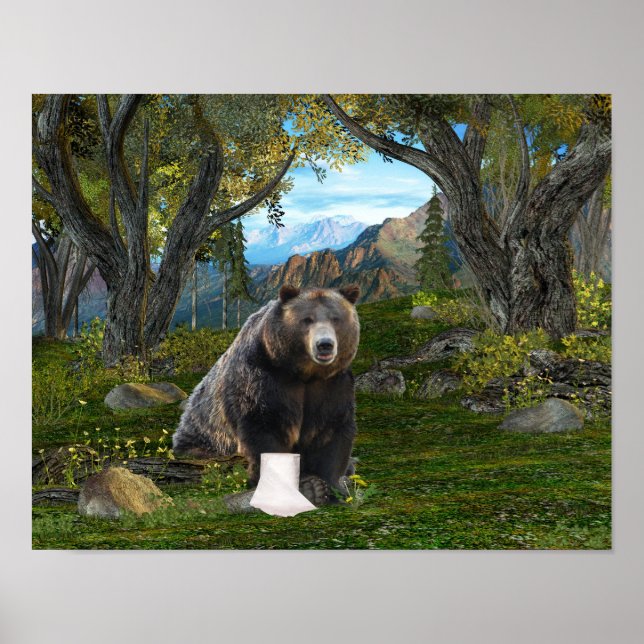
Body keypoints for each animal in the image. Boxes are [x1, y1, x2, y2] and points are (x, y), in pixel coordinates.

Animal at [172, 284, 361, 498]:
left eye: (335, 318)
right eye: (307, 319)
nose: (325, 345)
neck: (304, 374)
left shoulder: (332, 386)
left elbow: (331, 432)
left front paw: (330, 487)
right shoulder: (263, 381)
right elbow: (264, 431)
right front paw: (304, 485)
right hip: (205, 440)